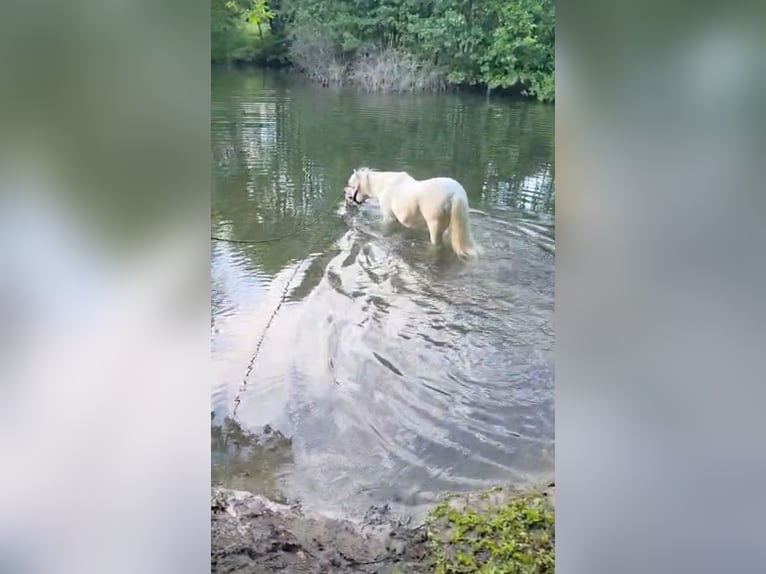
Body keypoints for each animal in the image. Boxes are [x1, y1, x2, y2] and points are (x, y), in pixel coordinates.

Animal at [343, 167, 480, 259]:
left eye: (350, 184)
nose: (344, 194)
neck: (384, 185)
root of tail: (456, 193)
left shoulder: (388, 217)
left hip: (435, 227)